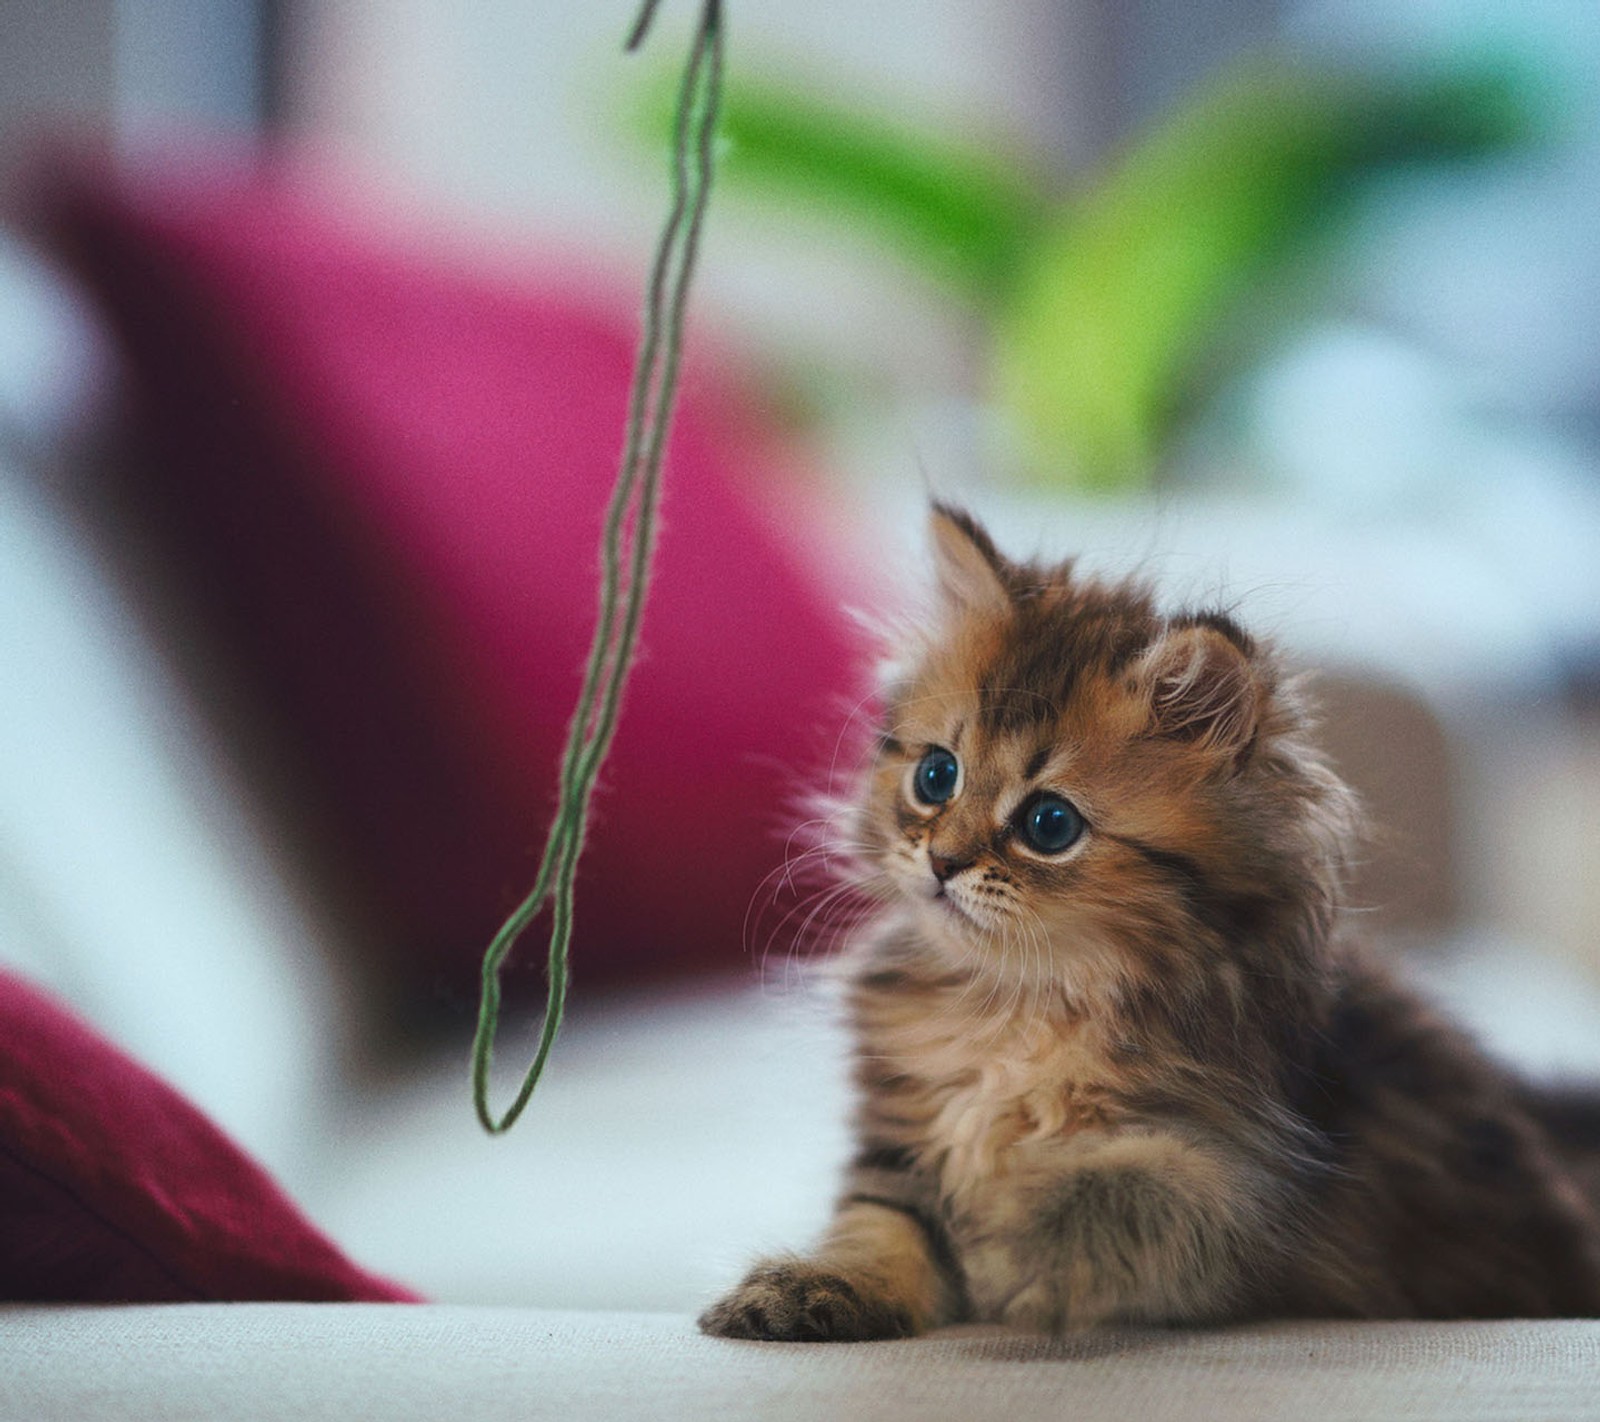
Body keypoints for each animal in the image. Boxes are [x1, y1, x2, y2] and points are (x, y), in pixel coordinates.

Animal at [700, 505, 1600, 1337]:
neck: (1018, 1007)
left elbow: (1133, 1188)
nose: (942, 862)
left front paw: (1021, 1241)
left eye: (1049, 825)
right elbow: (880, 1228)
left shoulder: (1252, 1179)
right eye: (935, 777)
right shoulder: (902, 1148)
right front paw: (814, 1287)